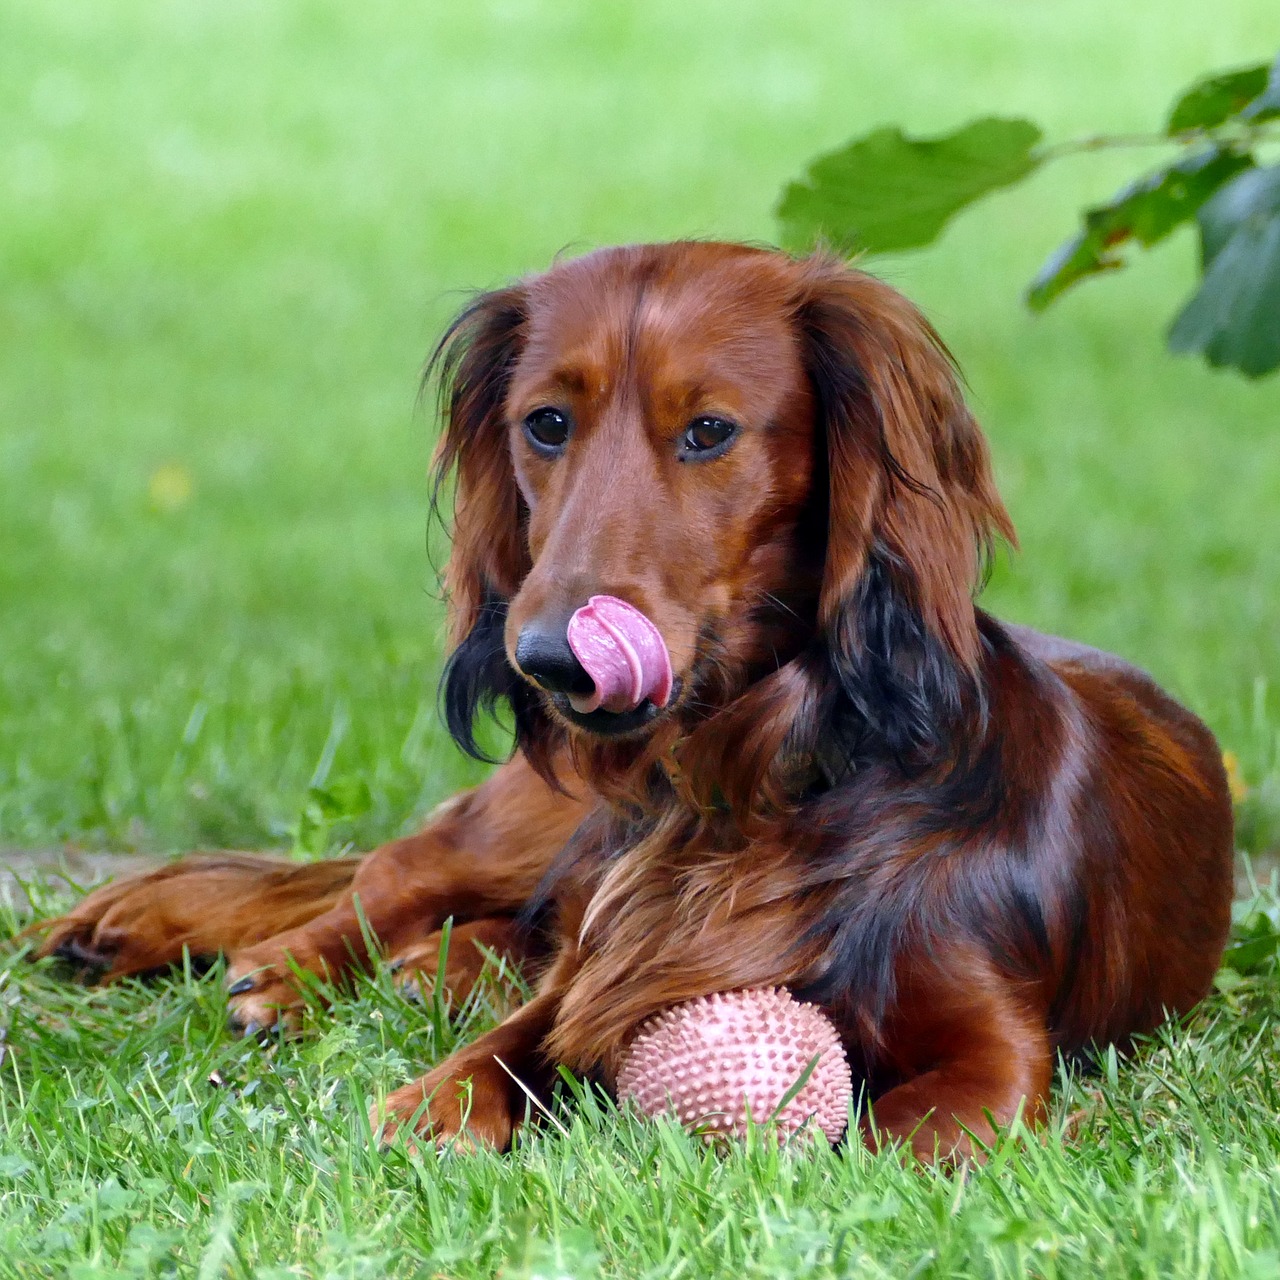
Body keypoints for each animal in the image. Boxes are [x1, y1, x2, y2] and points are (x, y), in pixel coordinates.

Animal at [42, 240, 1239, 1162]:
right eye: (545, 423)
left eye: (709, 430)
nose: (547, 661)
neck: (745, 789)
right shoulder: (595, 970)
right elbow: (495, 1051)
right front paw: (431, 1109)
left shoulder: (992, 1047)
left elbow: (905, 1136)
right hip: (531, 817)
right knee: (383, 879)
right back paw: (270, 972)